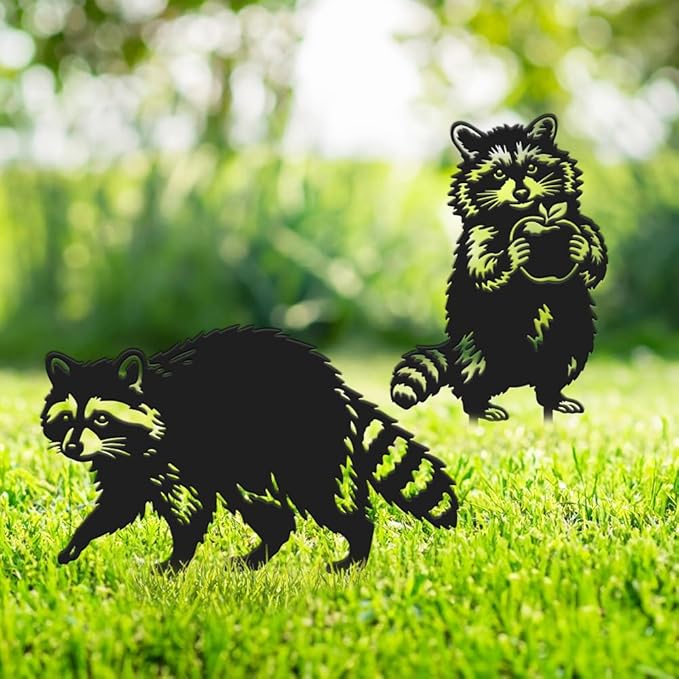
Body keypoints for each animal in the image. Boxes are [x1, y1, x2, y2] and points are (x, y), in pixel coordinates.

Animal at [41, 326, 458, 571]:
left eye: (100, 419)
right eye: (67, 419)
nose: (74, 446)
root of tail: (337, 388)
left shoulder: (180, 455)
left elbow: (189, 511)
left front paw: (177, 560)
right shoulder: (132, 466)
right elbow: (118, 505)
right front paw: (79, 541)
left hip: (299, 444)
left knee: (321, 495)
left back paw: (357, 547)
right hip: (247, 461)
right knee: (267, 508)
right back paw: (262, 553)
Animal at [391, 114, 607, 420]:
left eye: (531, 167)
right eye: (499, 174)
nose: (521, 192)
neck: (519, 212)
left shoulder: (576, 220)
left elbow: (594, 254)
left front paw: (585, 250)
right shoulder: (478, 235)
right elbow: (482, 268)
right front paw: (510, 256)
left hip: (571, 333)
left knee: (562, 362)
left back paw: (552, 396)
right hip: (484, 340)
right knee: (475, 369)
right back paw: (477, 404)